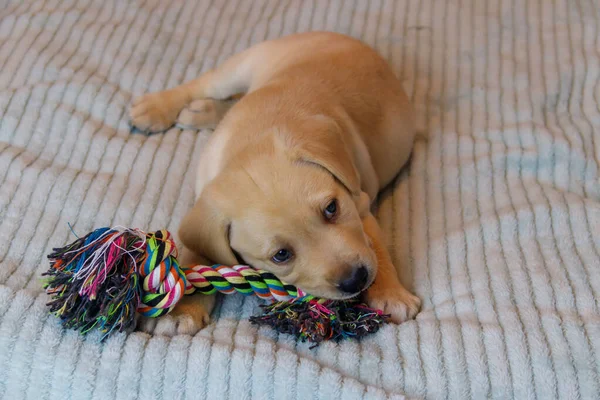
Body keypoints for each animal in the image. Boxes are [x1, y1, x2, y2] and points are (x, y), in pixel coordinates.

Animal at [130, 31, 422, 336]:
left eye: (331, 208)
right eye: (281, 255)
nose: (356, 279)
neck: (253, 142)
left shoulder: (358, 201)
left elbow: (376, 246)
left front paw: (391, 294)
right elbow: (196, 257)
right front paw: (182, 310)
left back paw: (192, 111)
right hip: (239, 69)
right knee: (202, 84)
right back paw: (161, 107)